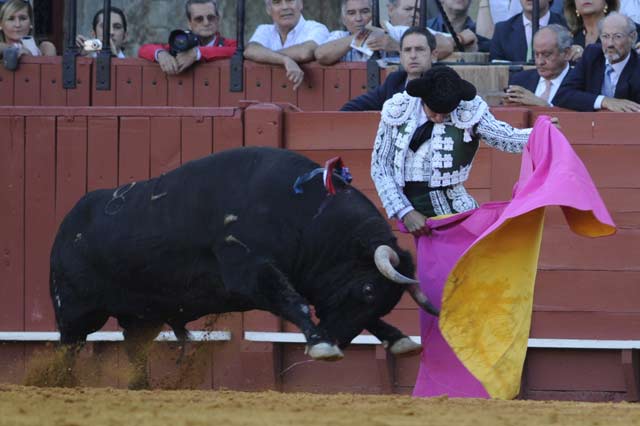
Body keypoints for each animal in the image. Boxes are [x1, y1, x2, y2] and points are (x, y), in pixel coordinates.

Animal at [52, 146, 438, 386]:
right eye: (368, 289)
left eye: (386, 301)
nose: (337, 341)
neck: (304, 213)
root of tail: (67, 225)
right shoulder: (249, 271)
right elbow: (293, 301)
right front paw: (320, 344)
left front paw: (399, 339)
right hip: (74, 310)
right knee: (67, 348)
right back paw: (61, 384)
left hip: (142, 316)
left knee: (134, 349)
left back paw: (140, 388)